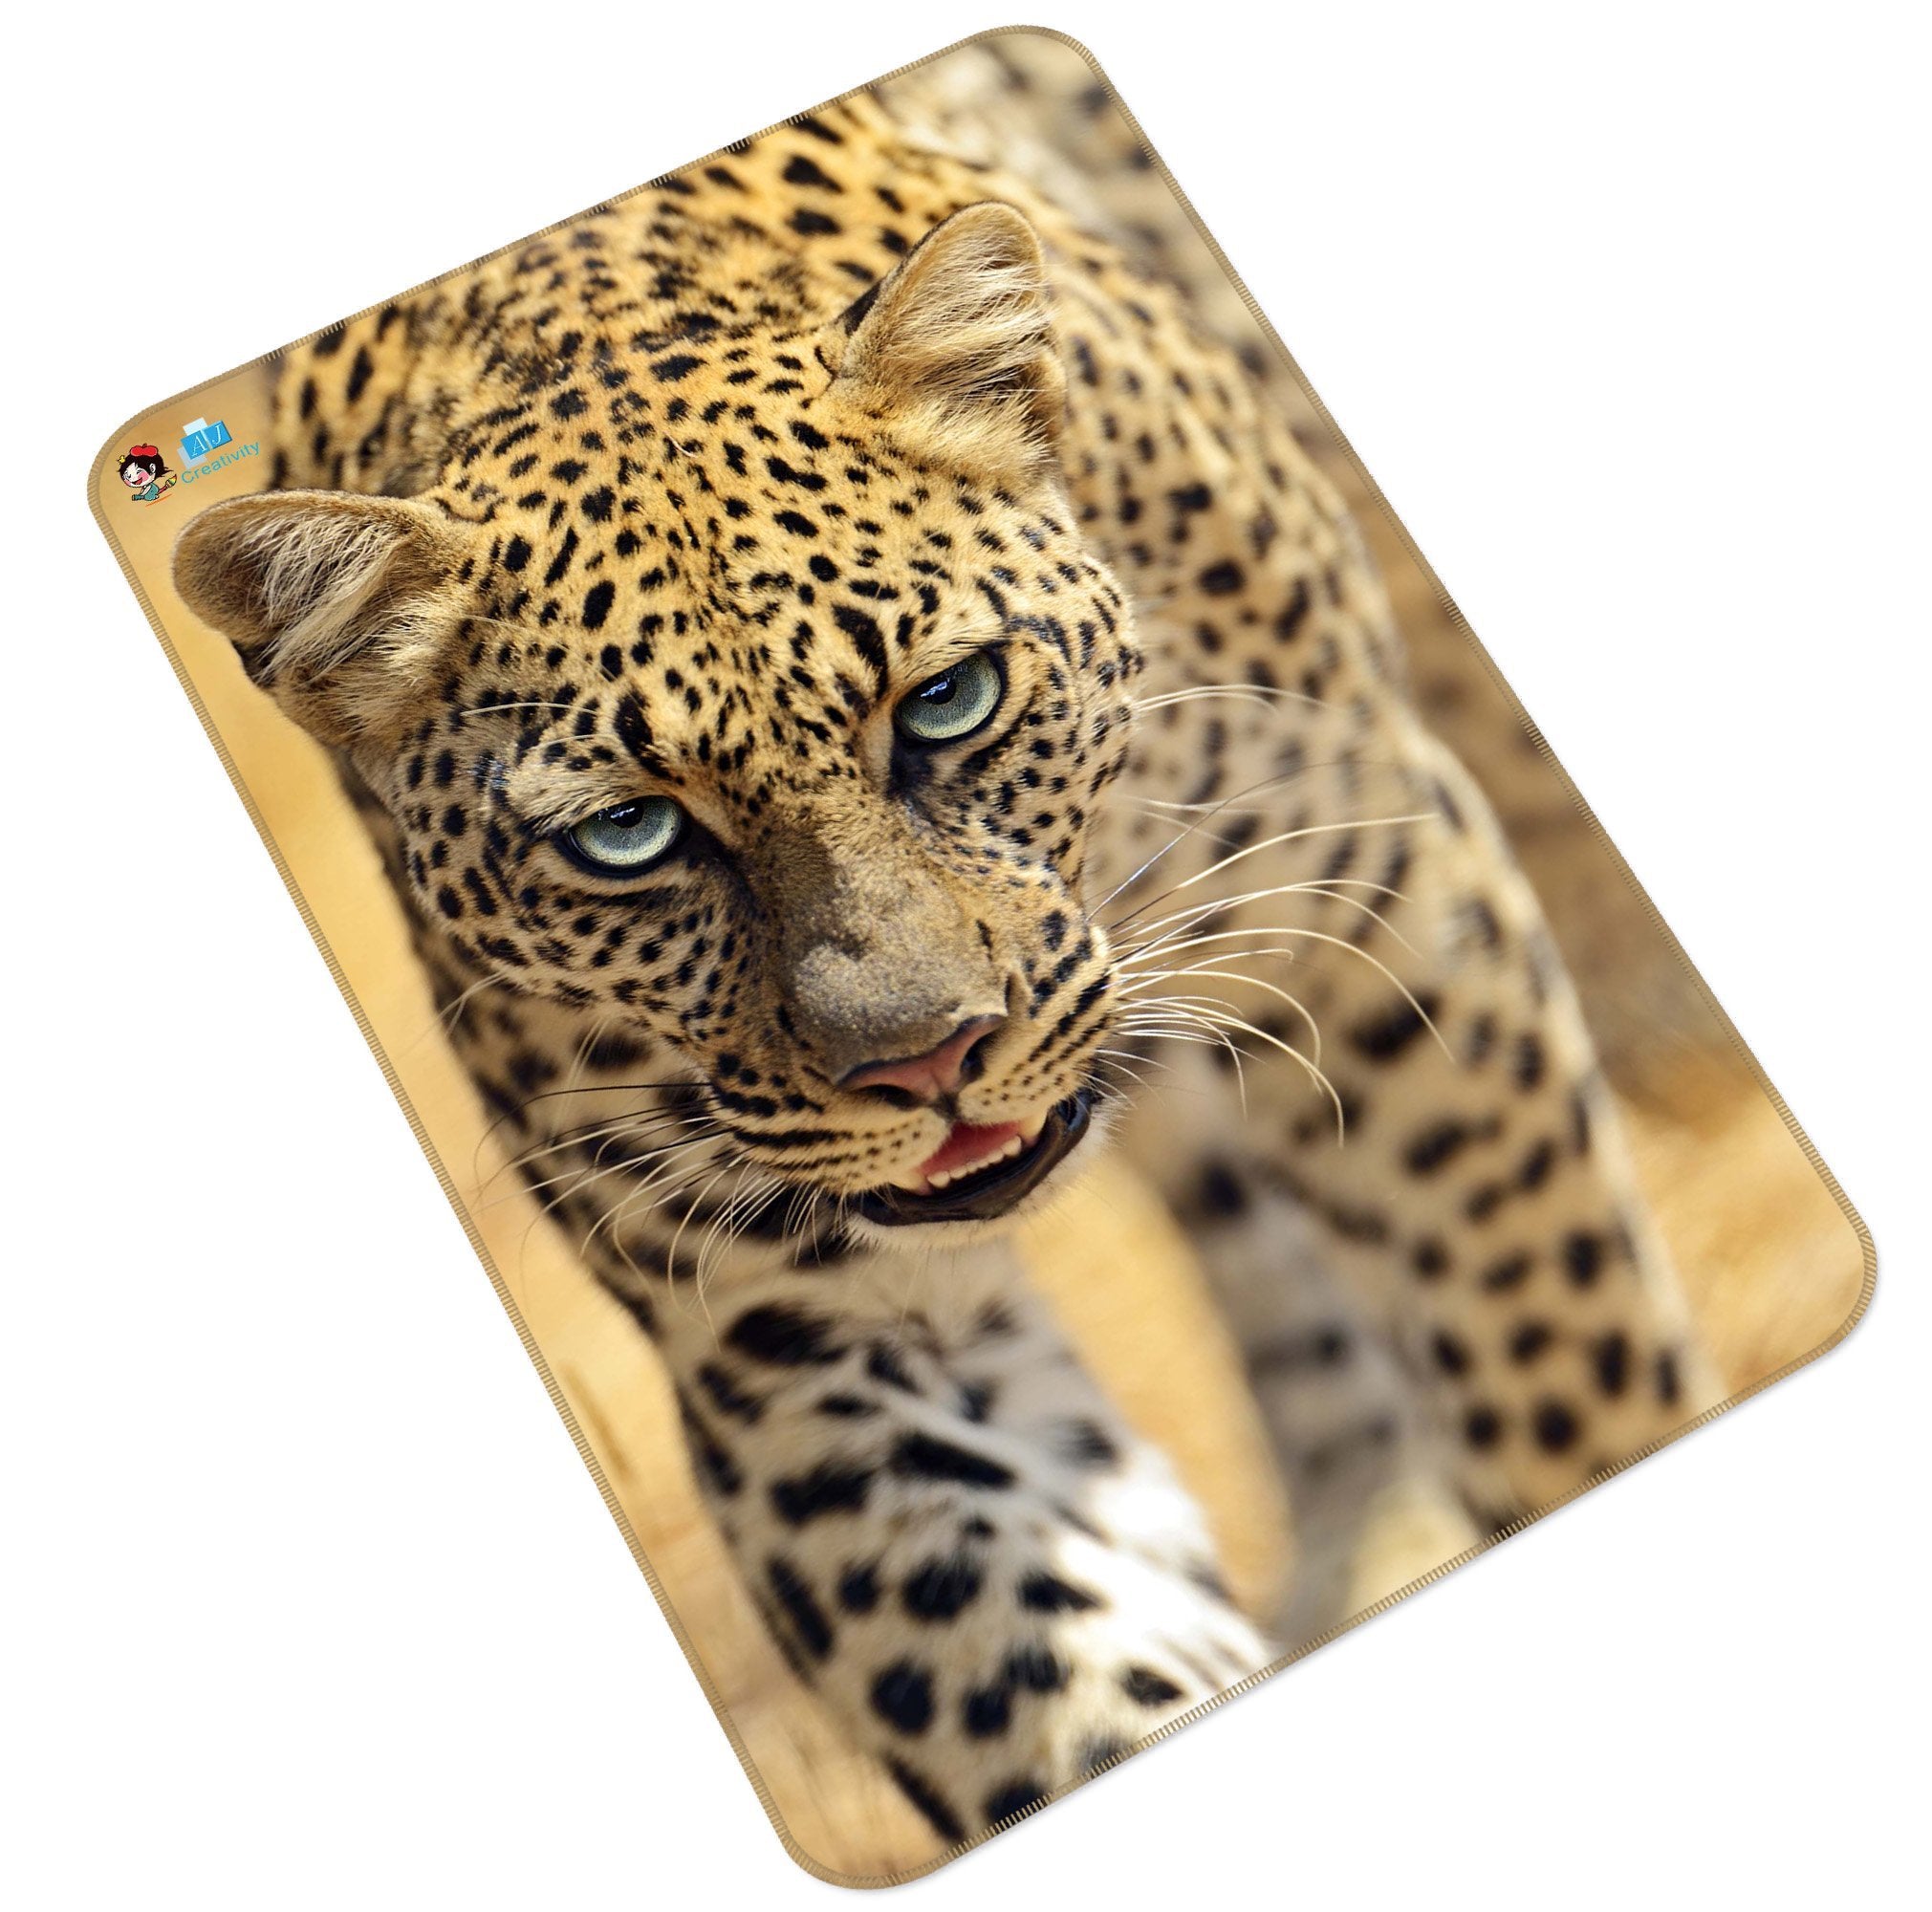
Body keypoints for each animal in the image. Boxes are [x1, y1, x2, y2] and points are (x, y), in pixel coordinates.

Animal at [170, 78, 1714, 1852]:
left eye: (951, 700)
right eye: (628, 834)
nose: (923, 1065)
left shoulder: (1388, 923)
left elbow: (1560, 1357)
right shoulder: (779, 1331)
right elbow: (1041, 1680)